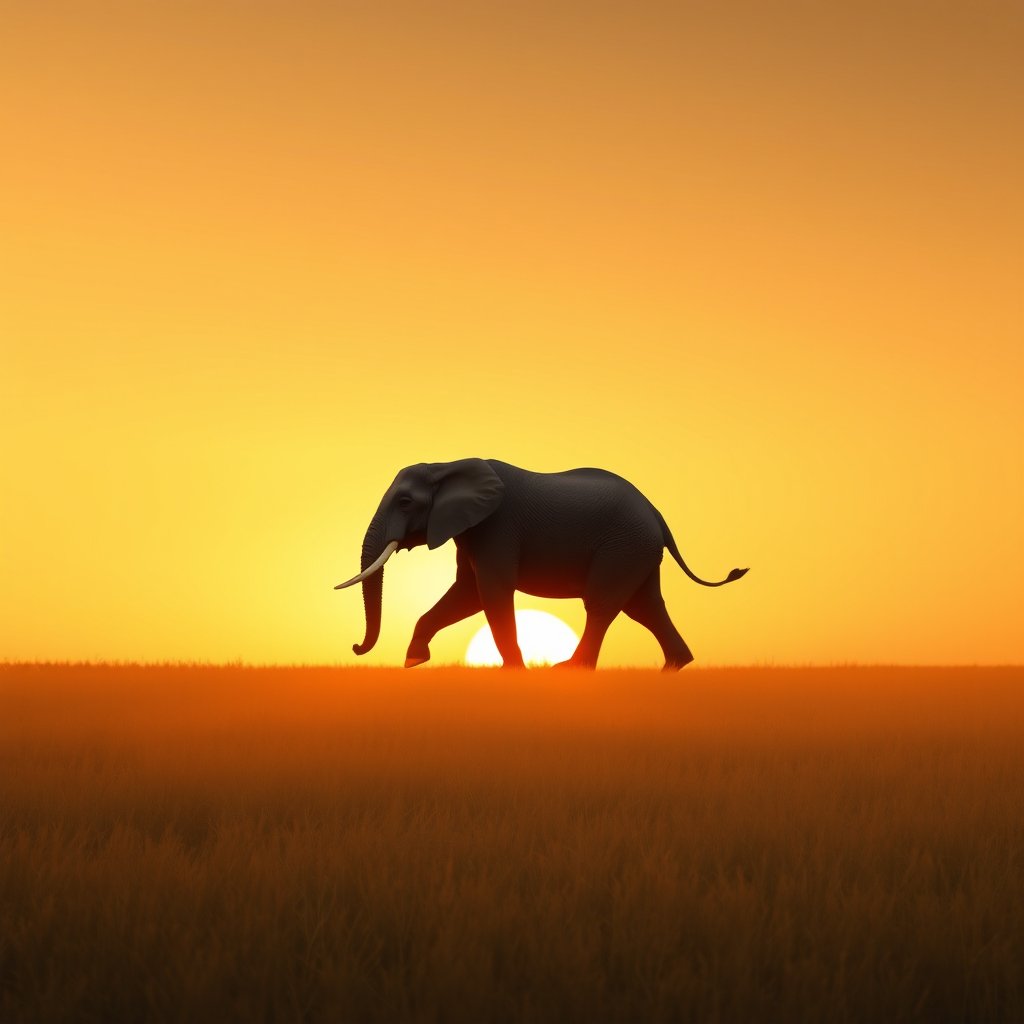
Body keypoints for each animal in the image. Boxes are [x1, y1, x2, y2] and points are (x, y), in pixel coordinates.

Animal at [335, 458, 748, 671]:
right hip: (637, 549)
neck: (447, 465)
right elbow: (467, 592)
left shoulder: (498, 526)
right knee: (645, 606)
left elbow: (490, 591)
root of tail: (657, 514)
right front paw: (413, 661)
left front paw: (514, 673)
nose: (355, 647)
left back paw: (570, 670)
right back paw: (675, 667)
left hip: (623, 545)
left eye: (405, 502)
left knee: (604, 604)